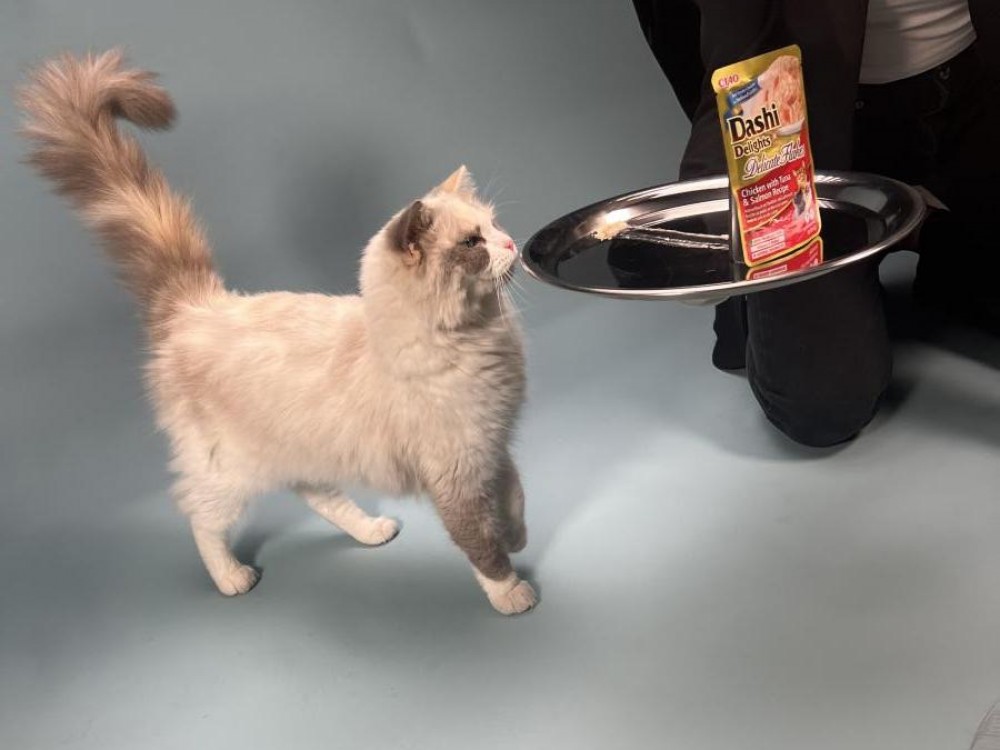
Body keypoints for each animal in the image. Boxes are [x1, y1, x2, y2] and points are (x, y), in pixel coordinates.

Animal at [19, 50, 536, 615]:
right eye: (472, 243)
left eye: (494, 225)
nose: (512, 243)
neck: (477, 339)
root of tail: (198, 304)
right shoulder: (457, 473)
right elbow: (478, 542)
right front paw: (511, 592)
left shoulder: (491, 450)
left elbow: (514, 499)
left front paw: (517, 538)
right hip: (227, 471)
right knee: (202, 519)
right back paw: (232, 578)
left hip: (305, 448)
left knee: (316, 494)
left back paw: (373, 531)